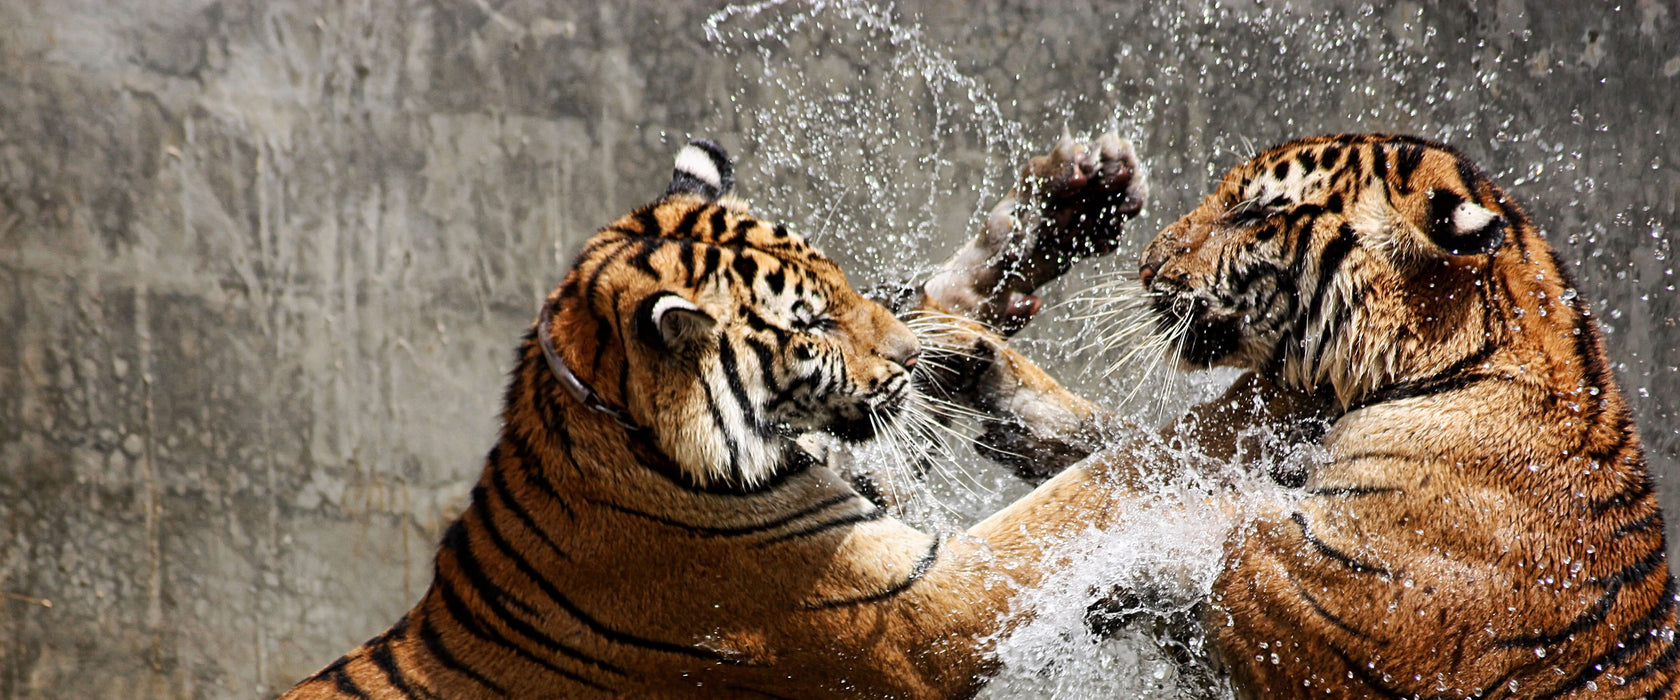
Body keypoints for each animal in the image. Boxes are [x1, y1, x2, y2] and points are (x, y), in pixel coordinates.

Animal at [282, 132, 1155, 698]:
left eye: (843, 282)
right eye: (812, 325)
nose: (908, 357)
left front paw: (1067, 205)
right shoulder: (917, 608)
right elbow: (1074, 504)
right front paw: (1179, 449)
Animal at [934, 133, 1680, 694]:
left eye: (1249, 214)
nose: (1145, 266)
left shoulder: (1344, 605)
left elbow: (1191, 516)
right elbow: (1154, 453)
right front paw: (981, 366)